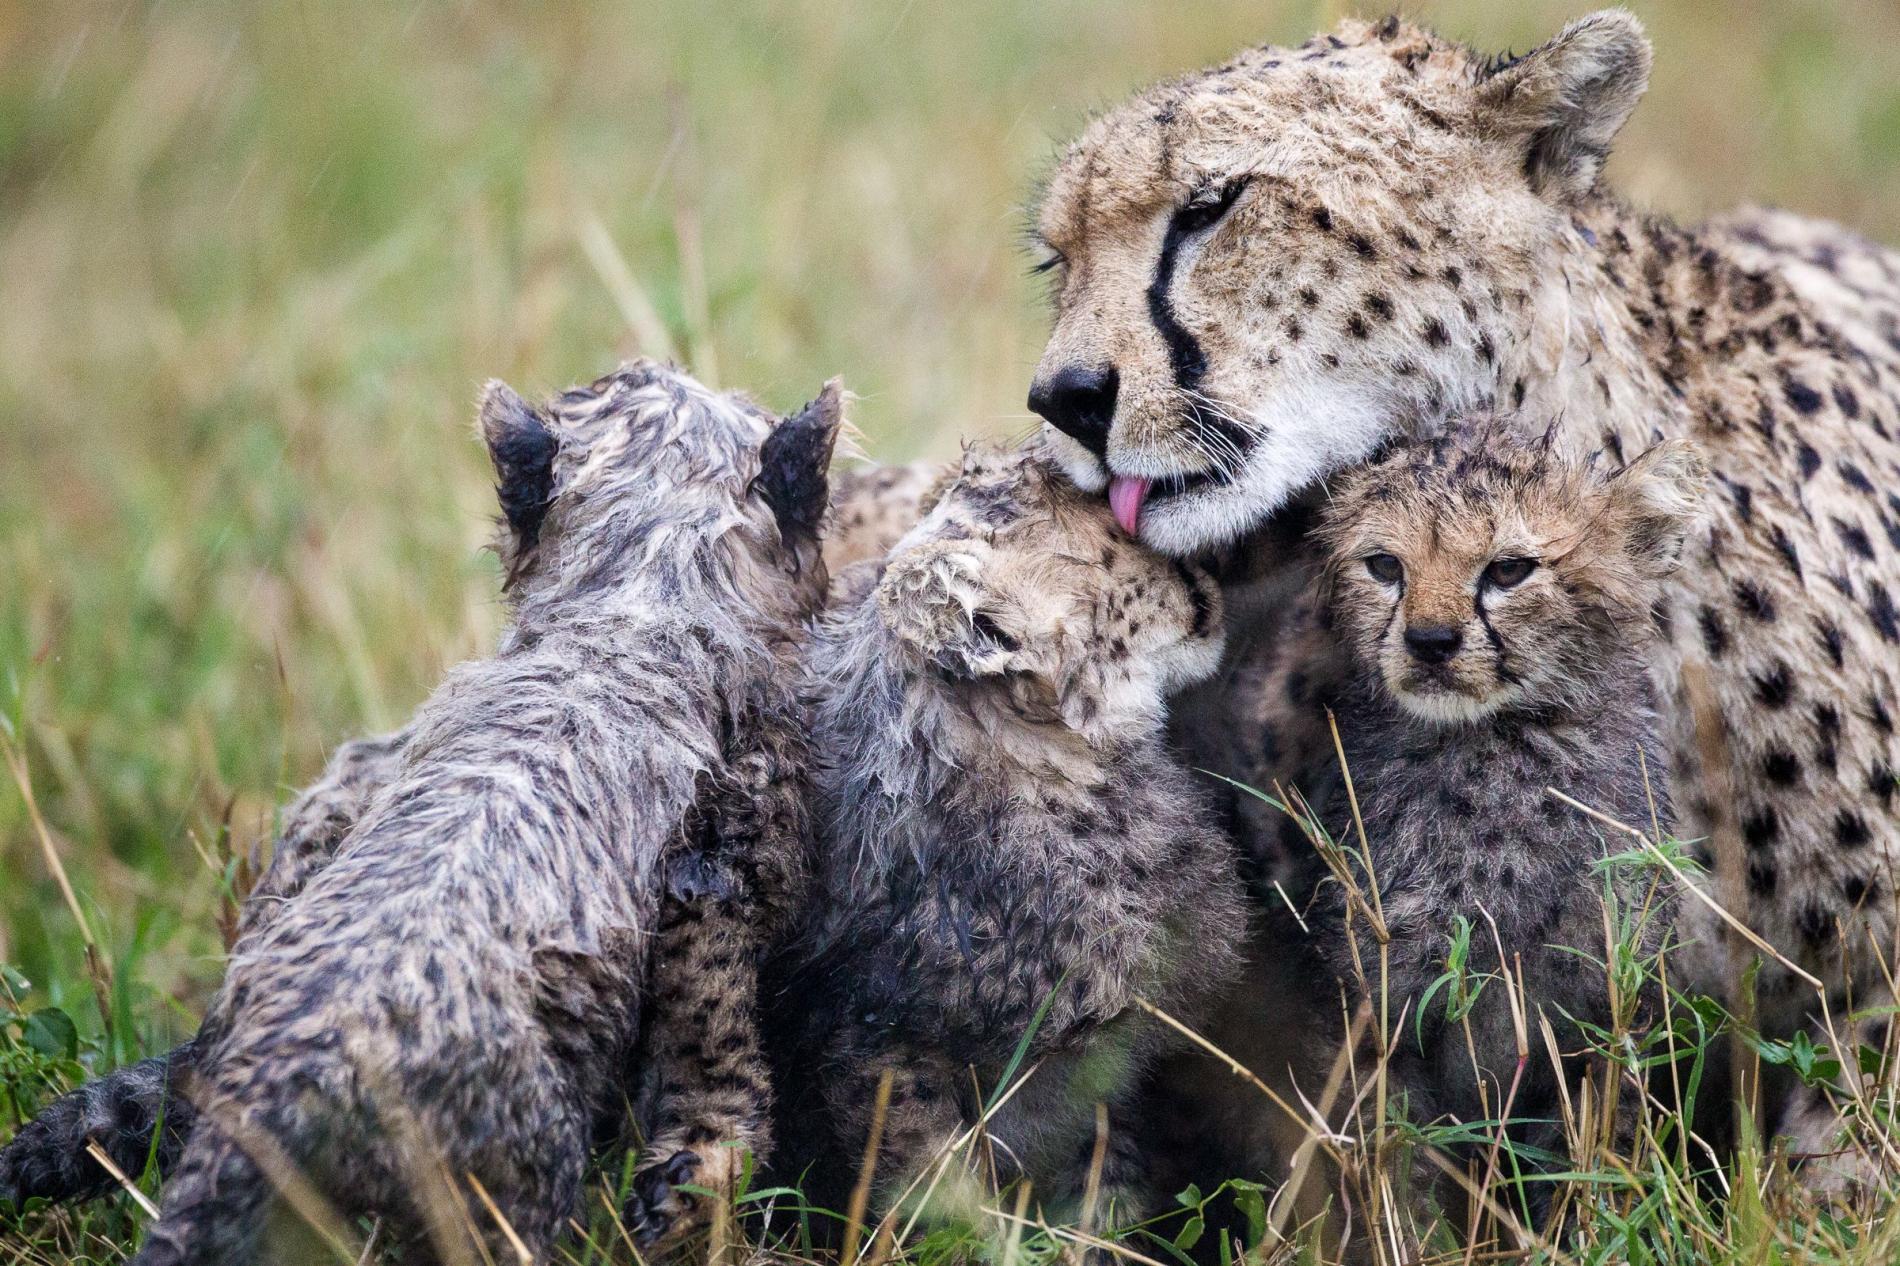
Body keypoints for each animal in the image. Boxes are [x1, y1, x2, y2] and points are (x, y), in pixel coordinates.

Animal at [20, 362, 843, 1265]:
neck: (629, 618)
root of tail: (289, 1075)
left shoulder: (356, 776)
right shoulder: (738, 855)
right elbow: (716, 1083)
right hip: (509, 1189)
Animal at [763, 442, 1246, 1235]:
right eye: (1103, 527)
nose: (1201, 569)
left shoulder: (1098, 1075)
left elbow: (1103, 1184)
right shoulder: (877, 1050)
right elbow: (942, 1202)